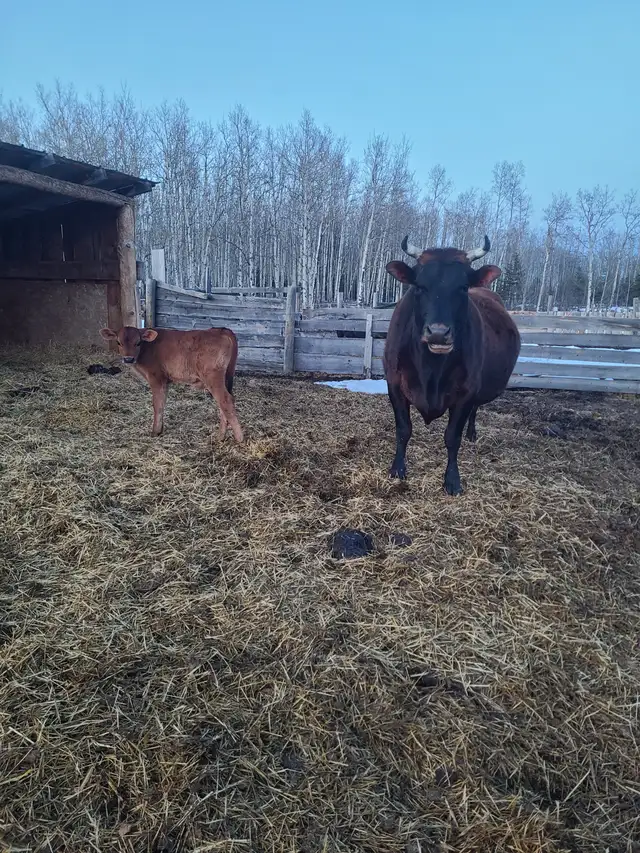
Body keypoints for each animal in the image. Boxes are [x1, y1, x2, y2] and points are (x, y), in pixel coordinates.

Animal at [99, 326, 244, 442]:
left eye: (138, 342)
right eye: (119, 342)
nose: (128, 359)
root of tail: (221, 330)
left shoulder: (156, 378)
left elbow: (157, 404)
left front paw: (155, 431)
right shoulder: (165, 381)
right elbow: (162, 403)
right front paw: (160, 429)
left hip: (213, 377)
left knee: (225, 400)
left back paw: (239, 438)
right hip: (225, 377)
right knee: (225, 403)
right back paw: (221, 436)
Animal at [383, 236, 520, 495]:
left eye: (463, 287)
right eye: (419, 286)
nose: (438, 333)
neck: (430, 370)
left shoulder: (466, 392)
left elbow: (452, 438)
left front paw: (452, 480)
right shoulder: (394, 384)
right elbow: (403, 430)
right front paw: (397, 469)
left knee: (475, 410)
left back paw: (472, 433)